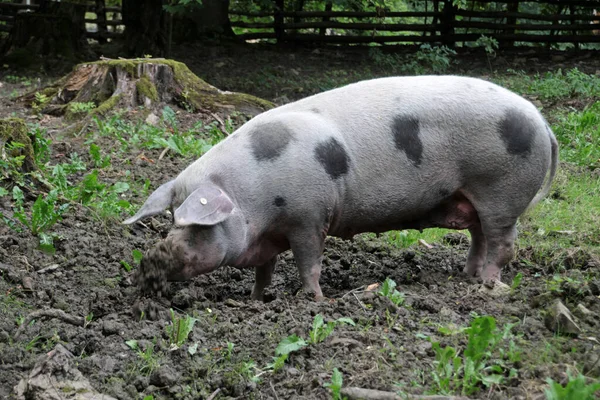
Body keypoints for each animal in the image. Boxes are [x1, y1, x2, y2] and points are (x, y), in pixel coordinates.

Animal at [122, 75, 556, 300]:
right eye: (170, 219)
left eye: (198, 226)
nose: (153, 258)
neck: (251, 199)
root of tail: (541, 121)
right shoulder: (269, 235)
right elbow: (265, 269)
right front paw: (258, 299)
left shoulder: (308, 216)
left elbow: (309, 263)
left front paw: (314, 300)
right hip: (475, 197)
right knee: (479, 236)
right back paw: (466, 276)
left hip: (503, 191)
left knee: (503, 243)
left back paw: (487, 286)